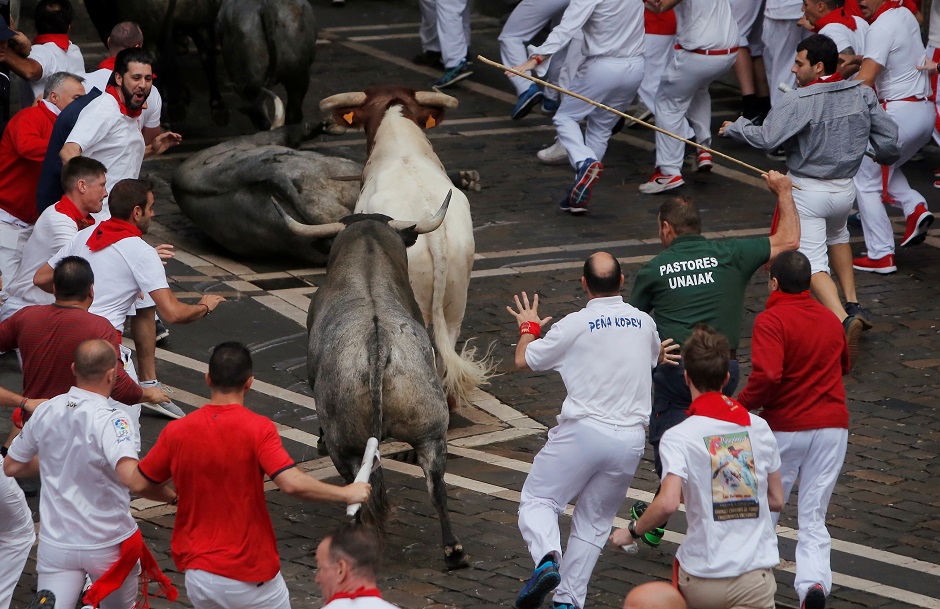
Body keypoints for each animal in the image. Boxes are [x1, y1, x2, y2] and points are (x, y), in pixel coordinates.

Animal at [280, 194, 468, 568]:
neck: (367, 263)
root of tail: (378, 347)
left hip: (347, 444)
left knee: (363, 485)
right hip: (430, 430)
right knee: (436, 483)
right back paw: (452, 549)